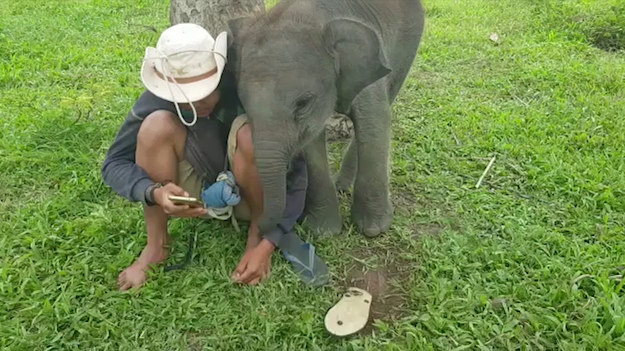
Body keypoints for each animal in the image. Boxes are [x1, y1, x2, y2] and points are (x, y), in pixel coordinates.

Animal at [229, 0, 424, 236]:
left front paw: (373, 229)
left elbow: (375, 122)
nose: (257, 226)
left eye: (303, 103)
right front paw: (323, 231)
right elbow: (312, 141)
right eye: (243, 105)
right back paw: (341, 186)